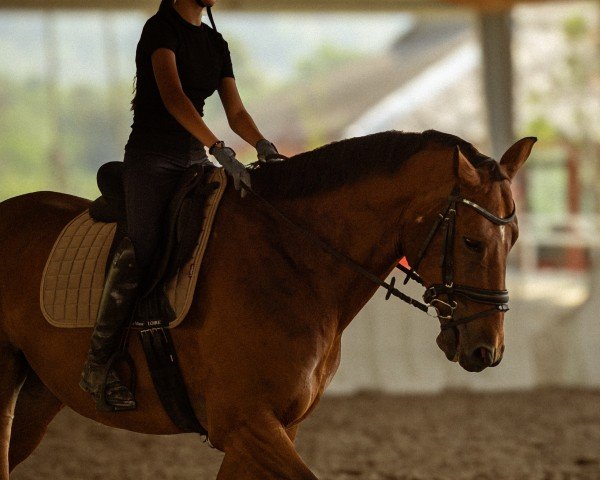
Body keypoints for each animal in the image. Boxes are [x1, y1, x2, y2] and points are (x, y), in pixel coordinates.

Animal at [0, 129, 536, 478]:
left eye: (512, 239)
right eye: (471, 242)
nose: (488, 351)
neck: (292, 258)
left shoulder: (271, 429)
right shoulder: (247, 425)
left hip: (37, 397)